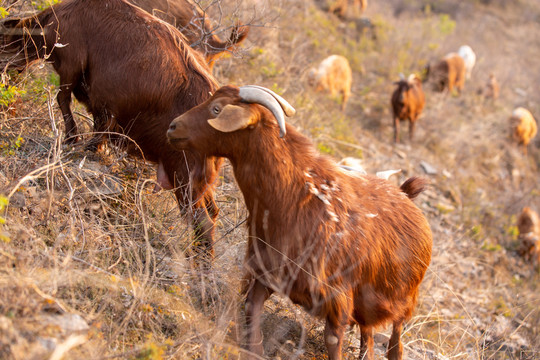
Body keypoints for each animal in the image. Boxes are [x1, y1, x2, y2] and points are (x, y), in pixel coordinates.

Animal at [167, 85, 432, 360]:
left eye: (216, 109)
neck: (295, 195)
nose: (173, 127)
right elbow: (252, 306)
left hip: (404, 298)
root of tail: (405, 194)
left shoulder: (336, 295)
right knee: (367, 336)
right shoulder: (267, 268)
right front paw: (254, 350)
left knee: (396, 339)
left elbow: (333, 339)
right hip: (366, 304)